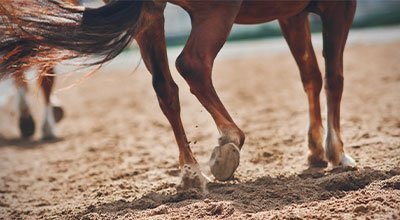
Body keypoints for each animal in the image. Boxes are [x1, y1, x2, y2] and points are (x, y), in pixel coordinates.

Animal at [0, 0, 356, 189]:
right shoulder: (338, 7)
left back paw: (191, 172)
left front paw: (316, 149)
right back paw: (228, 141)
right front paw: (337, 153)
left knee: (165, 88)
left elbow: (311, 76)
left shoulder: (291, 14)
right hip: (216, 14)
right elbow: (334, 77)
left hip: (151, 17)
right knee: (193, 65)